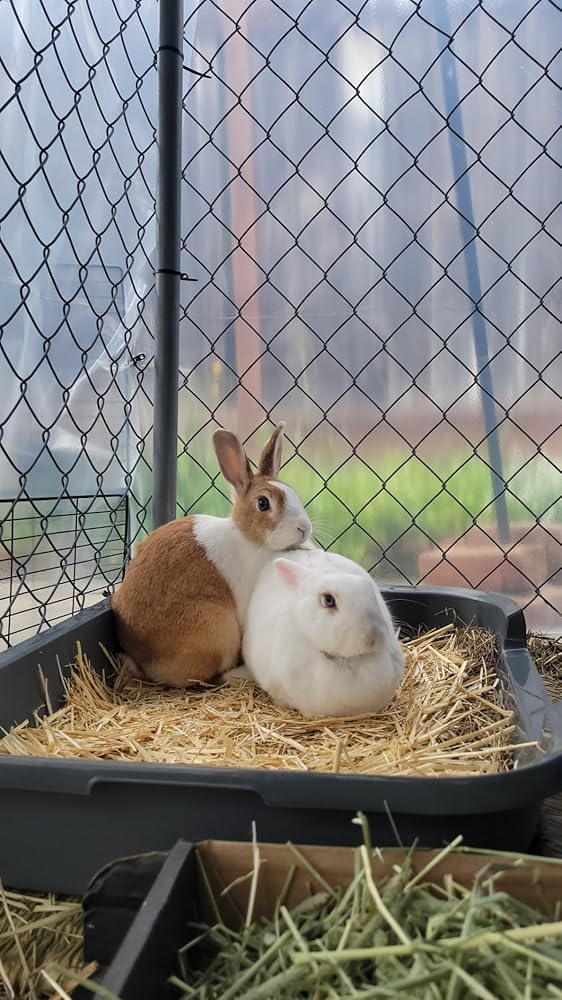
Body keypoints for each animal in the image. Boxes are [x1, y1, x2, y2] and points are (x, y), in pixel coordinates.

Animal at [111, 422, 312, 687]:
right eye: (263, 503)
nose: (304, 528)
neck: (249, 538)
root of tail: (142, 661)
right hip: (219, 631)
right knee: (212, 677)